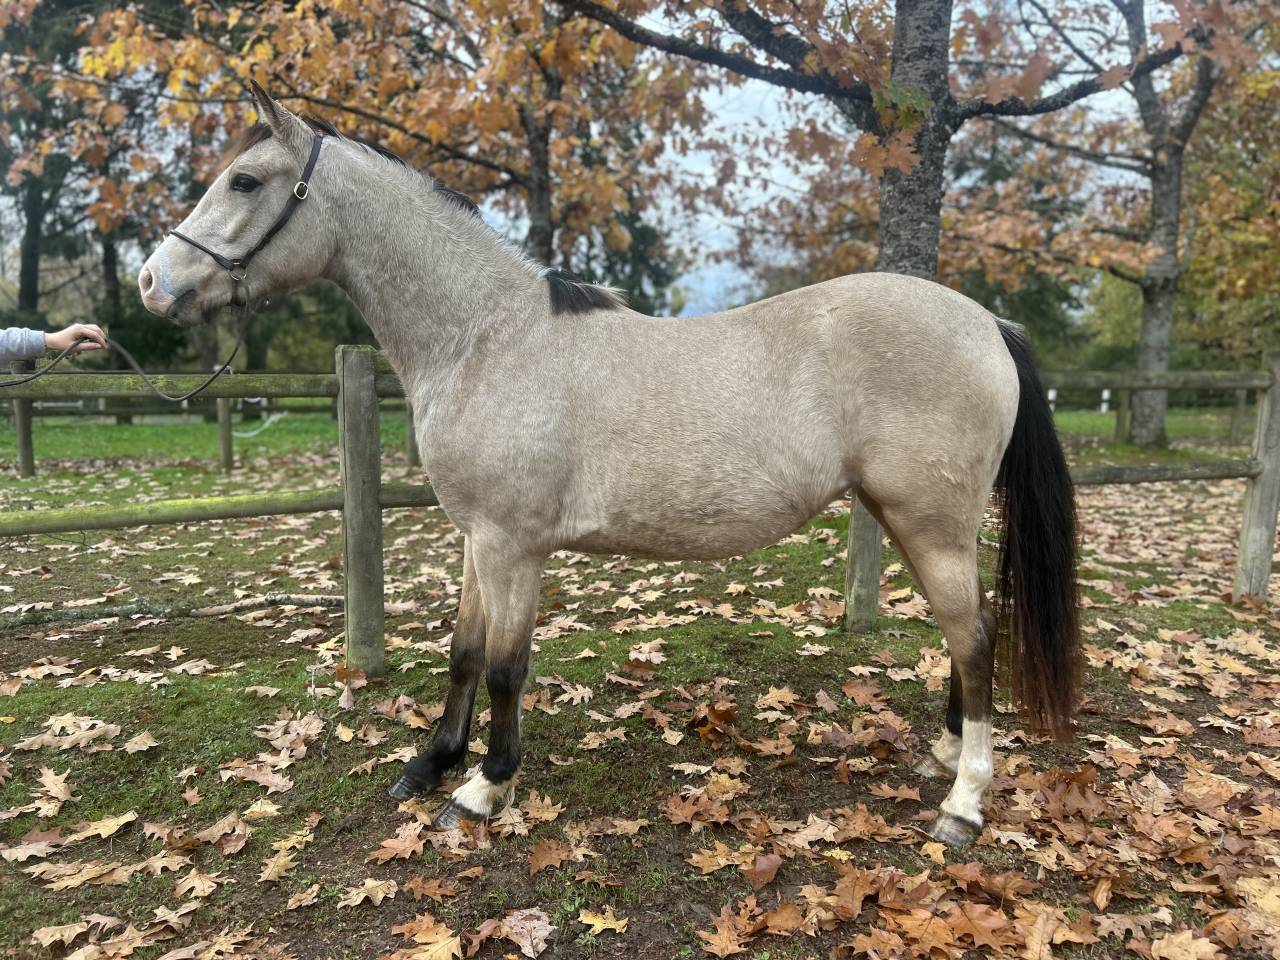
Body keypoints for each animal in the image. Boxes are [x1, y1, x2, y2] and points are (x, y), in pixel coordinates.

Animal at [138, 83, 1079, 846]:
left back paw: (964, 802)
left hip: (932, 523)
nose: (153, 282)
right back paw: (946, 751)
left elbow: (508, 667)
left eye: (245, 181)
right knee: (965, 636)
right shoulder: (476, 538)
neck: (488, 338)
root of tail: (988, 323)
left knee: (976, 638)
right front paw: (431, 763)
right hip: (906, 519)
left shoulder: (513, 545)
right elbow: (464, 653)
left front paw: (483, 790)